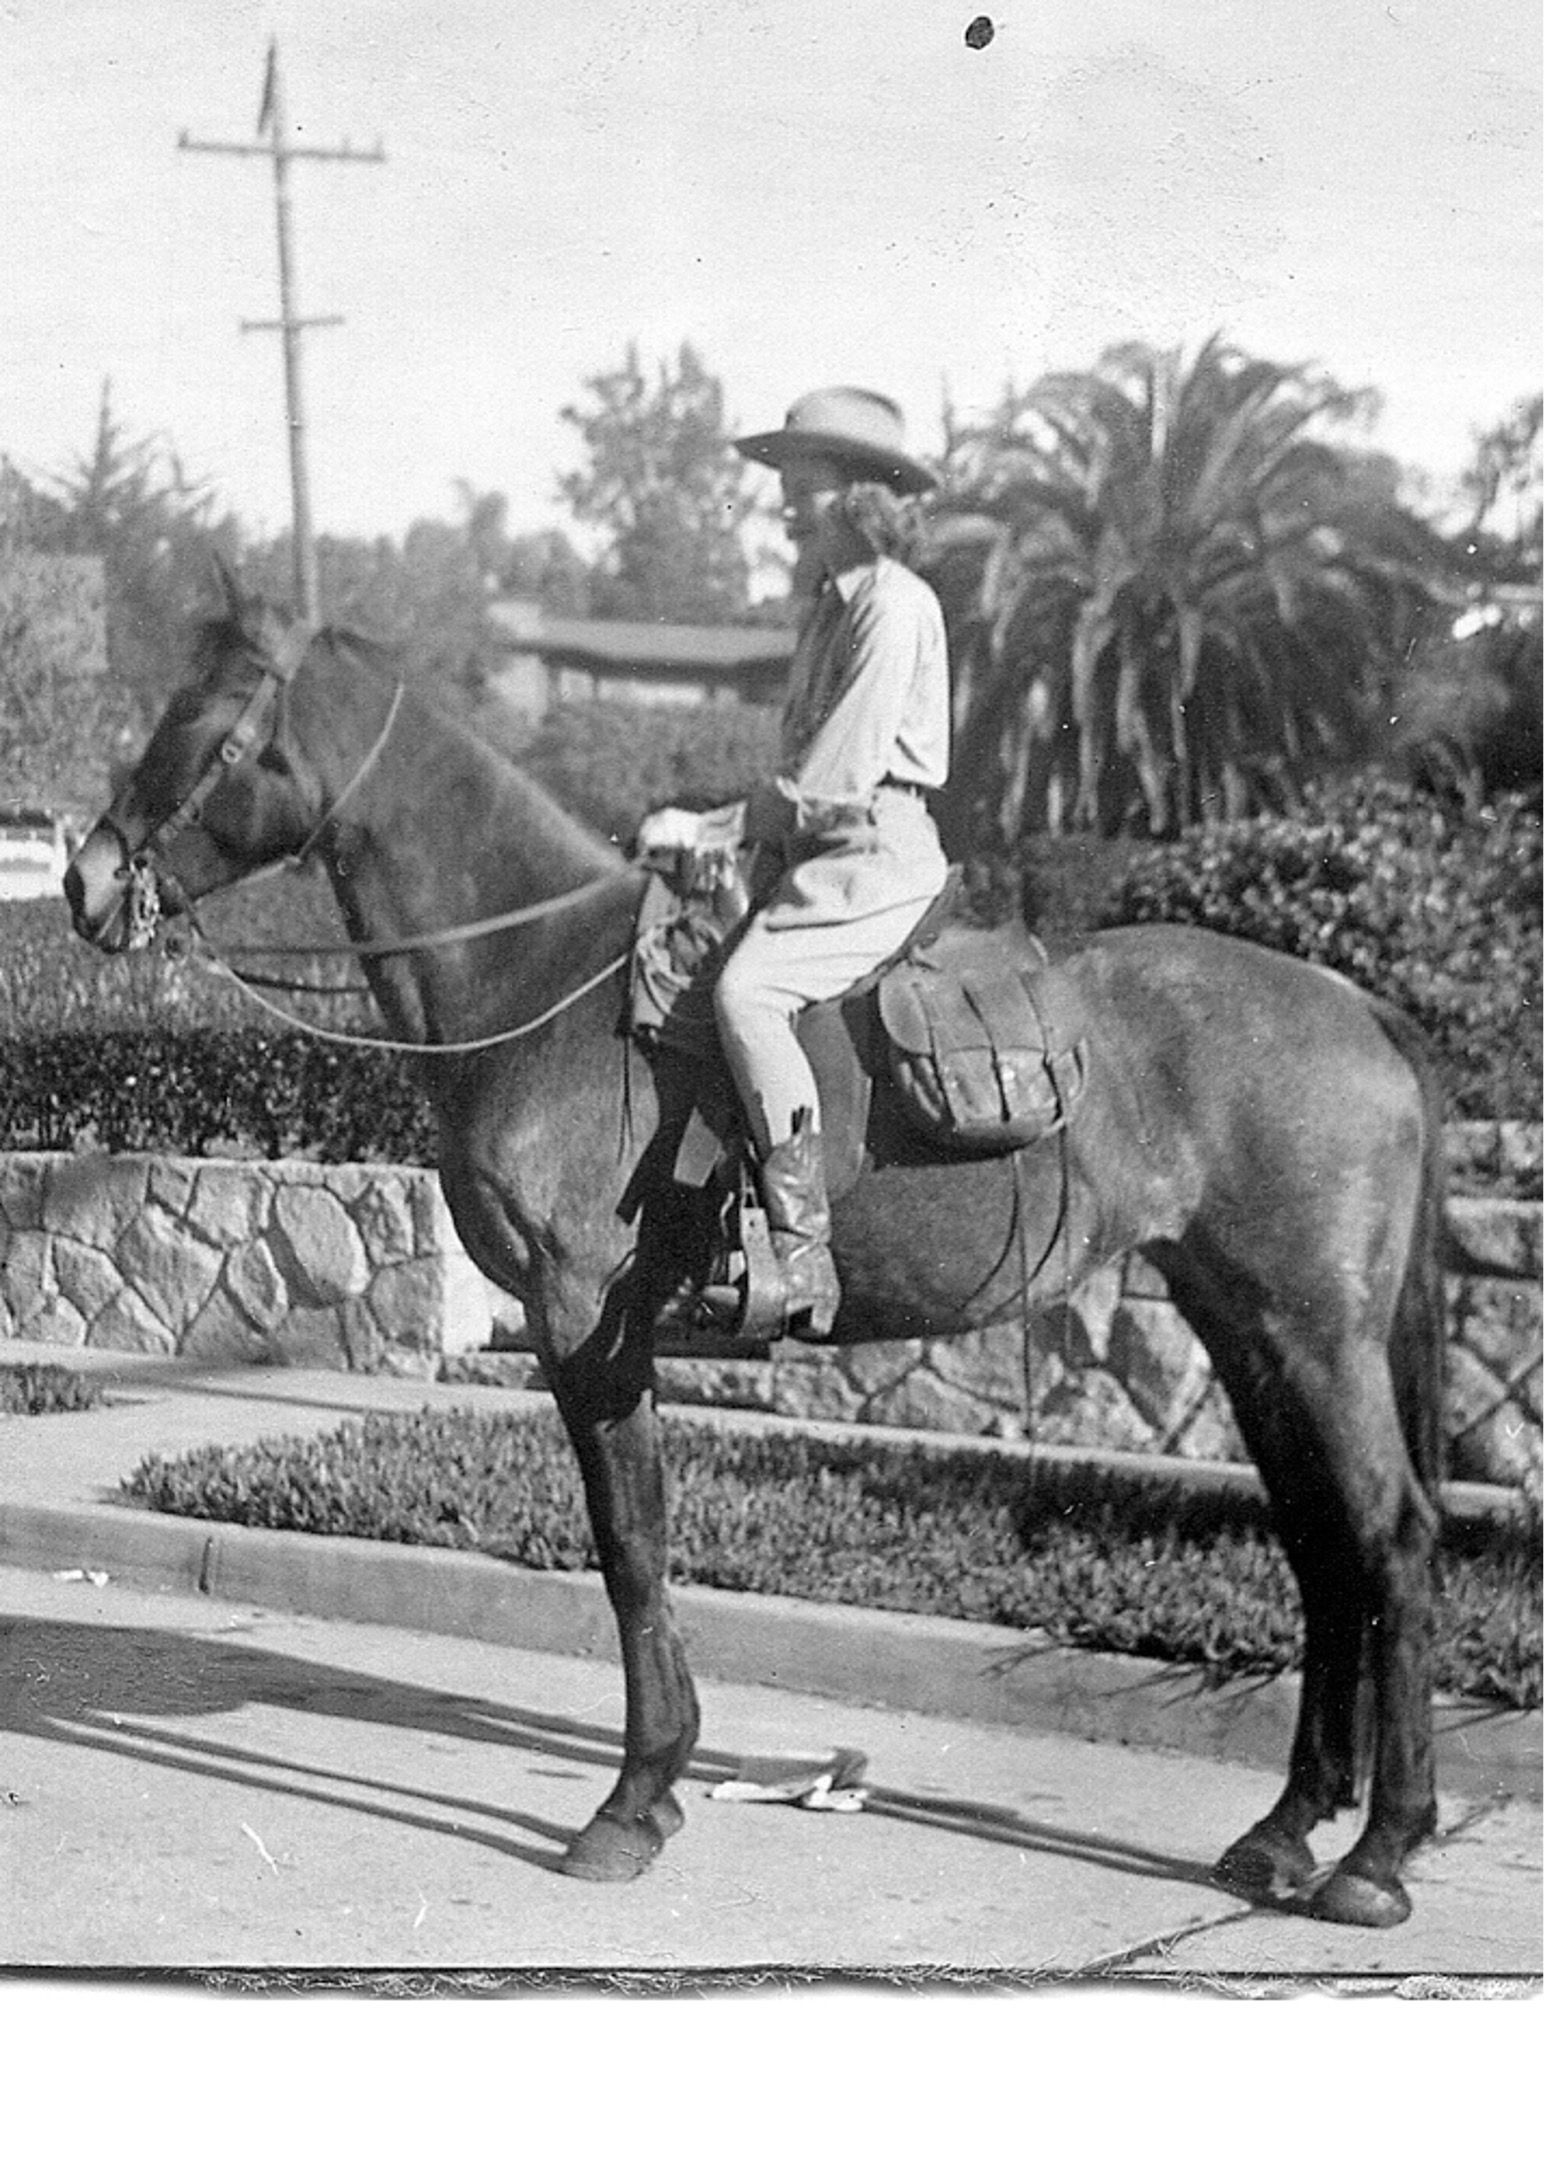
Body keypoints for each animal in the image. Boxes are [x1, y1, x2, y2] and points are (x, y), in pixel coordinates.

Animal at [66, 583, 1450, 1935]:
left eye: (201, 725)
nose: (83, 882)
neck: (544, 982)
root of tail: (1359, 1007)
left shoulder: (582, 1324)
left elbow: (630, 1546)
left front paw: (633, 1801)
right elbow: (638, 1543)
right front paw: (659, 1784)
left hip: (1314, 1333)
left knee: (1387, 1532)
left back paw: (1379, 1854)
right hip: (1241, 1323)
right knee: (1320, 1542)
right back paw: (1284, 1830)